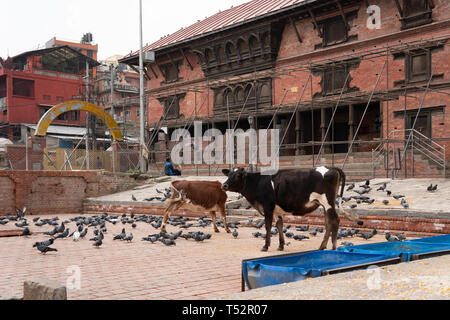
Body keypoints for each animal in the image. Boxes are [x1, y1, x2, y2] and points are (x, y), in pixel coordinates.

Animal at [223, 166, 364, 251]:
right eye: (229, 174)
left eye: (237, 175)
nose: (224, 185)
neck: (258, 182)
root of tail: (331, 168)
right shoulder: (277, 210)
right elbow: (279, 225)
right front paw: (281, 246)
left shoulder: (267, 207)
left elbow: (268, 226)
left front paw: (266, 246)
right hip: (325, 204)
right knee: (329, 222)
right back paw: (322, 247)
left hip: (328, 202)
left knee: (335, 221)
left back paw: (333, 247)